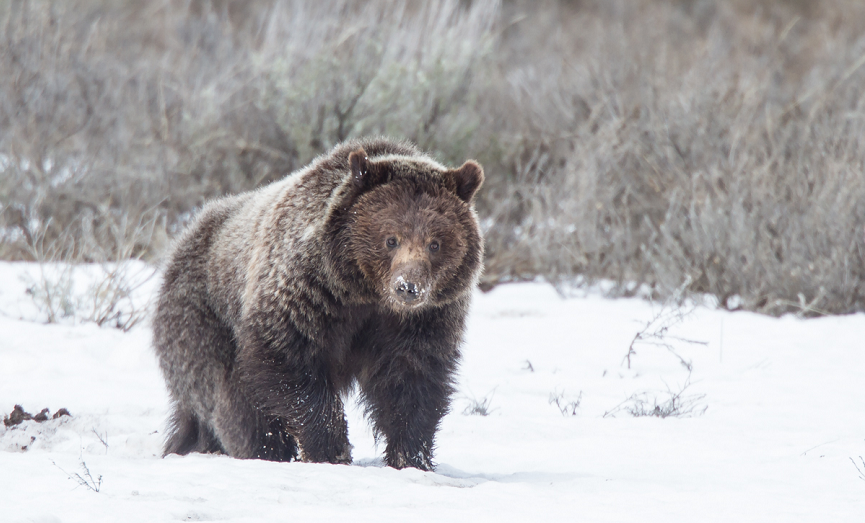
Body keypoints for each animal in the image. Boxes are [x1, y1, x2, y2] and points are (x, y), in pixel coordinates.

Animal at [152, 138, 482, 470]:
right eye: (391, 239)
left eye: (435, 243)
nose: (408, 287)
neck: (365, 291)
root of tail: (185, 237)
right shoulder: (309, 294)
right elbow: (293, 366)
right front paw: (331, 449)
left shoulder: (422, 319)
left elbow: (412, 379)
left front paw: (410, 455)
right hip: (204, 319)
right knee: (235, 404)